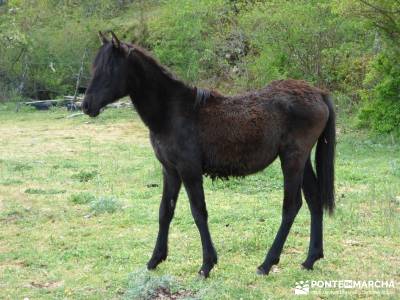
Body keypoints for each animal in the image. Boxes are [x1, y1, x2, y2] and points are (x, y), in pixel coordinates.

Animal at [83, 31, 336, 278]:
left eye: (109, 69)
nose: (86, 105)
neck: (173, 112)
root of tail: (319, 93)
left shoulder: (189, 170)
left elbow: (198, 212)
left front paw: (207, 265)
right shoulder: (170, 171)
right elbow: (165, 211)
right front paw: (155, 260)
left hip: (292, 160)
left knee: (291, 206)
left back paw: (266, 264)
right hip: (301, 161)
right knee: (314, 200)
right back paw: (310, 259)